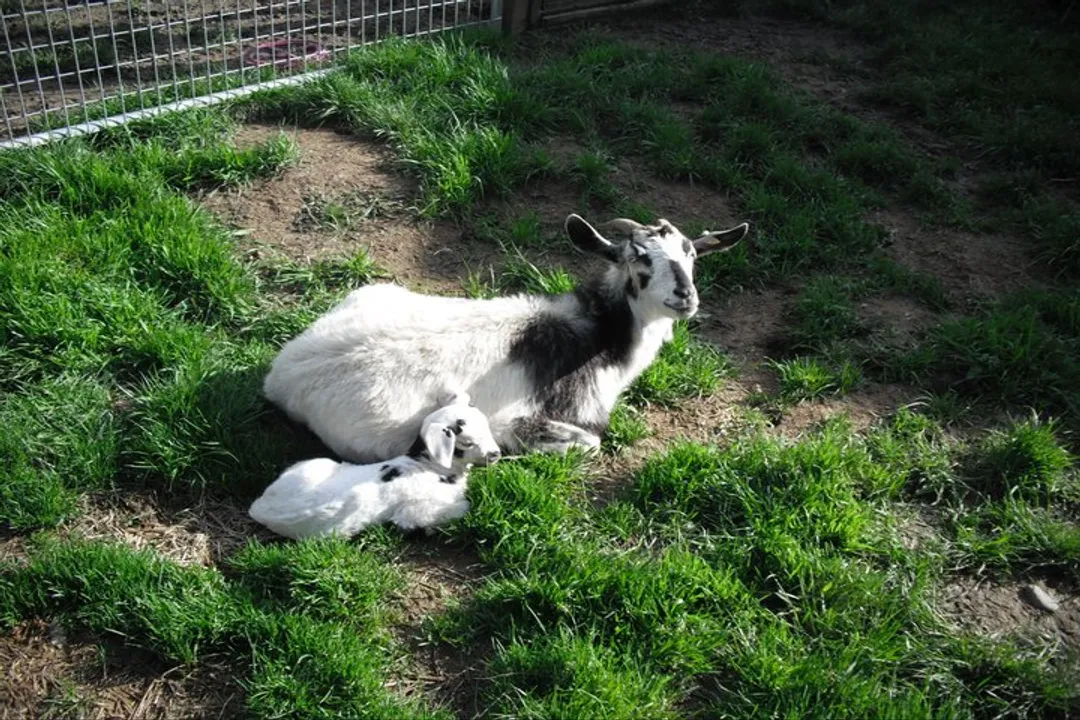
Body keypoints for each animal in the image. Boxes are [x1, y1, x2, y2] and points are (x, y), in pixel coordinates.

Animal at [248, 393, 499, 539]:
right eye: (467, 442)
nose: (496, 454)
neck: (429, 466)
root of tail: (259, 508)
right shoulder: (416, 511)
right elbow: (462, 506)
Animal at [263, 214, 748, 461]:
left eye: (691, 254)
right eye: (638, 258)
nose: (685, 296)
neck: (599, 338)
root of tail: (281, 376)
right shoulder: (517, 421)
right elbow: (589, 444)